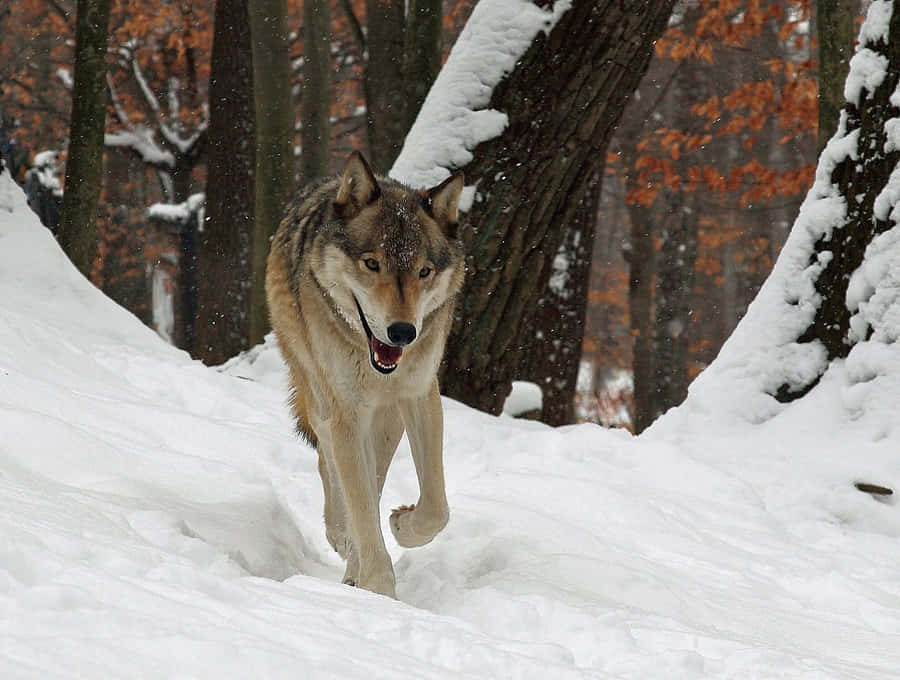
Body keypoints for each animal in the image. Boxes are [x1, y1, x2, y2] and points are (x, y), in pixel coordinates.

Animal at [266, 151, 465, 597]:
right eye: (372, 264)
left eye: (424, 272)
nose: (403, 332)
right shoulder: (345, 413)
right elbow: (358, 503)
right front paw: (378, 592)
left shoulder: (419, 394)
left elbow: (436, 508)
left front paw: (403, 525)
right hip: (321, 398)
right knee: (331, 469)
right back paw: (341, 539)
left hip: (386, 420)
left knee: (371, 479)